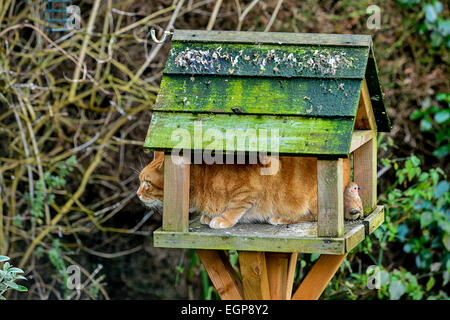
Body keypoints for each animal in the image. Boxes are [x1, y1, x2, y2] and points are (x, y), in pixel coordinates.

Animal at [137, 152, 316, 228]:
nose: (137, 194)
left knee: (313, 218)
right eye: (140, 181)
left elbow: (234, 207)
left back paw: (281, 218)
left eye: (148, 183)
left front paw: (222, 219)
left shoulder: (249, 191)